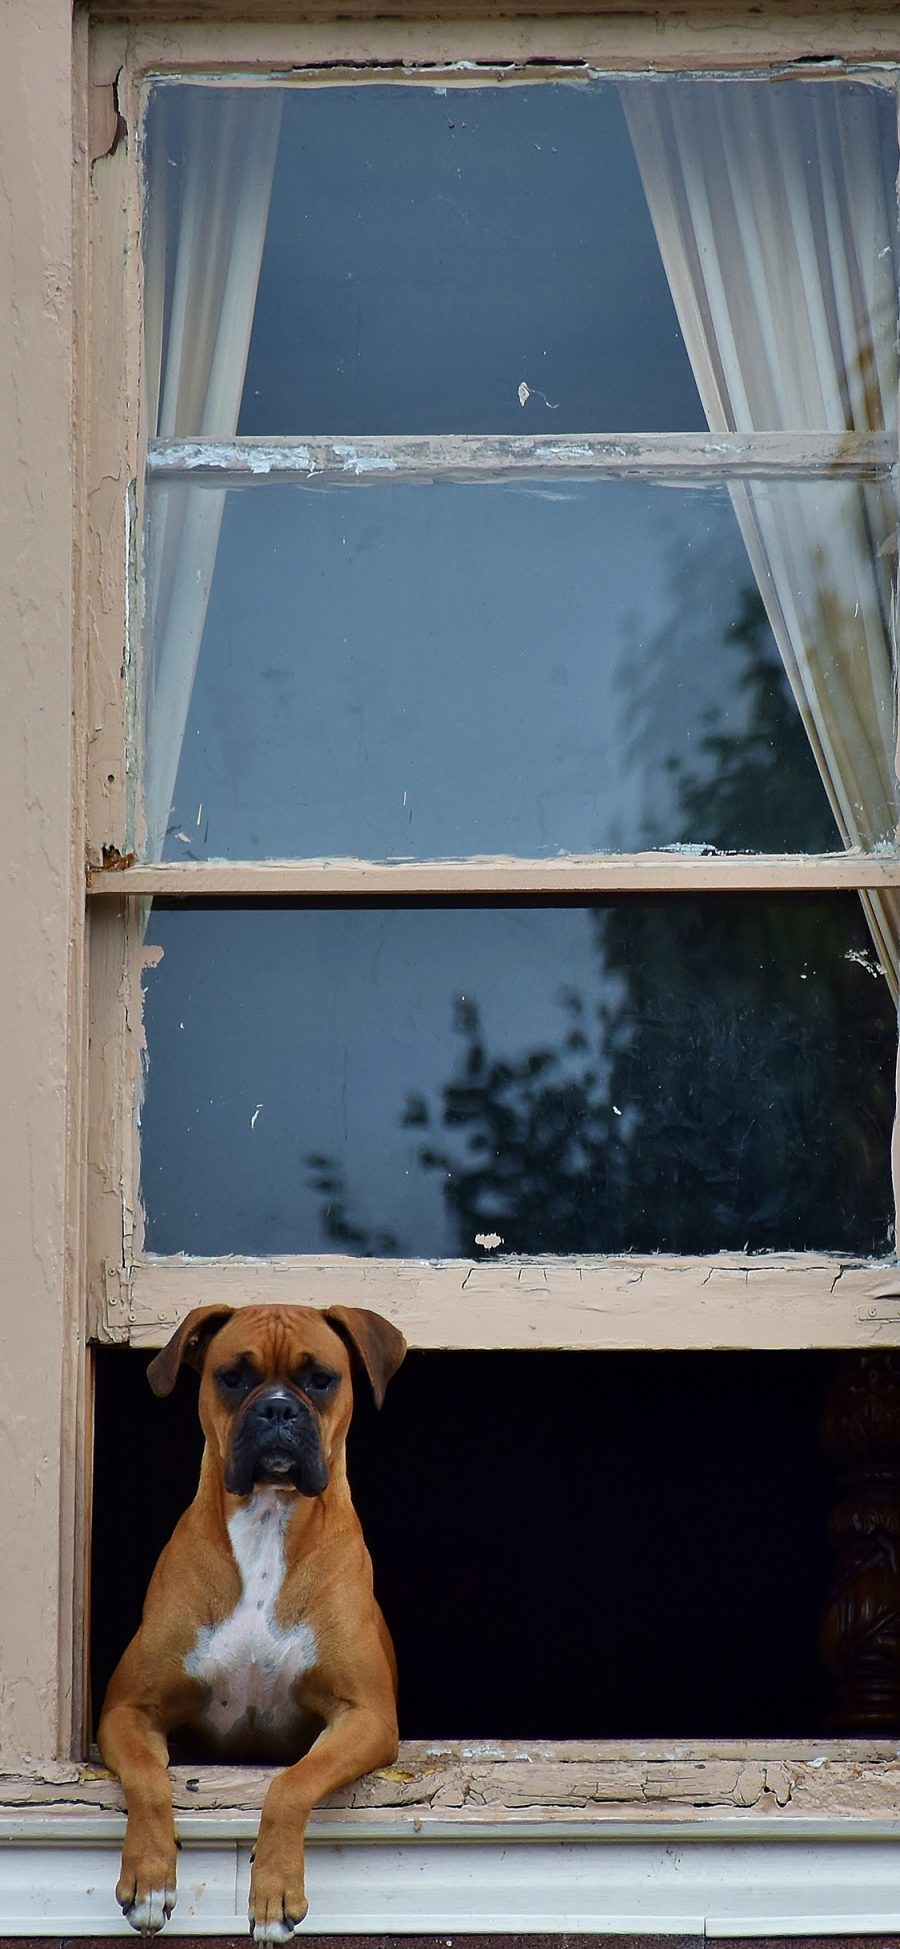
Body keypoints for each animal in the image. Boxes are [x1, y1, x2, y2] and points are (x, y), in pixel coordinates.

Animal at [98, 1301, 405, 1941]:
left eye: (320, 1378)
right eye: (233, 1377)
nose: (278, 1409)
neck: (268, 1517)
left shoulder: (366, 1717)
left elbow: (292, 1782)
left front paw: (274, 1892)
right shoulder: (127, 1709)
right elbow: (146, 1774)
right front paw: (149, 1877)